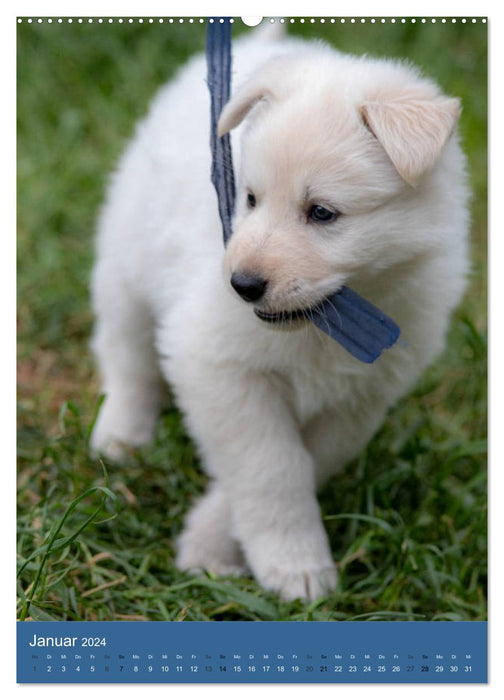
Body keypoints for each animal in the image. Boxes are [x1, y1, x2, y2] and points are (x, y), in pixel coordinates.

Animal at [89, 27, 468, 600]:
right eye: (249, 198)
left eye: (322, 213)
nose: (241, 285)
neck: (329, 322)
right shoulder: (217, 364)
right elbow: (270, 465)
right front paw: (294, 565)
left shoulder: (360, 397)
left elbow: (304, 462)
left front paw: (215, 540)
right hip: (128, 261)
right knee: (126, 354)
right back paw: (121, 435)